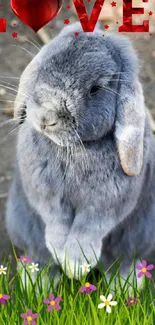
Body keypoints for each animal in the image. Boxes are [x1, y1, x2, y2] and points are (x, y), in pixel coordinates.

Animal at [5, 23, 155, 284]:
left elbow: (88, 228)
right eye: (43, 66)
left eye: (95, 89)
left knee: (123, 262)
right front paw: (63, 256)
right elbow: (55, 220)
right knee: (38, 256)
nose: (46, 117)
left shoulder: (105, 206)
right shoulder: (46, 196)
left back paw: (128, 286)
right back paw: (38, 281)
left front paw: (76, 265)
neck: (74, 148)